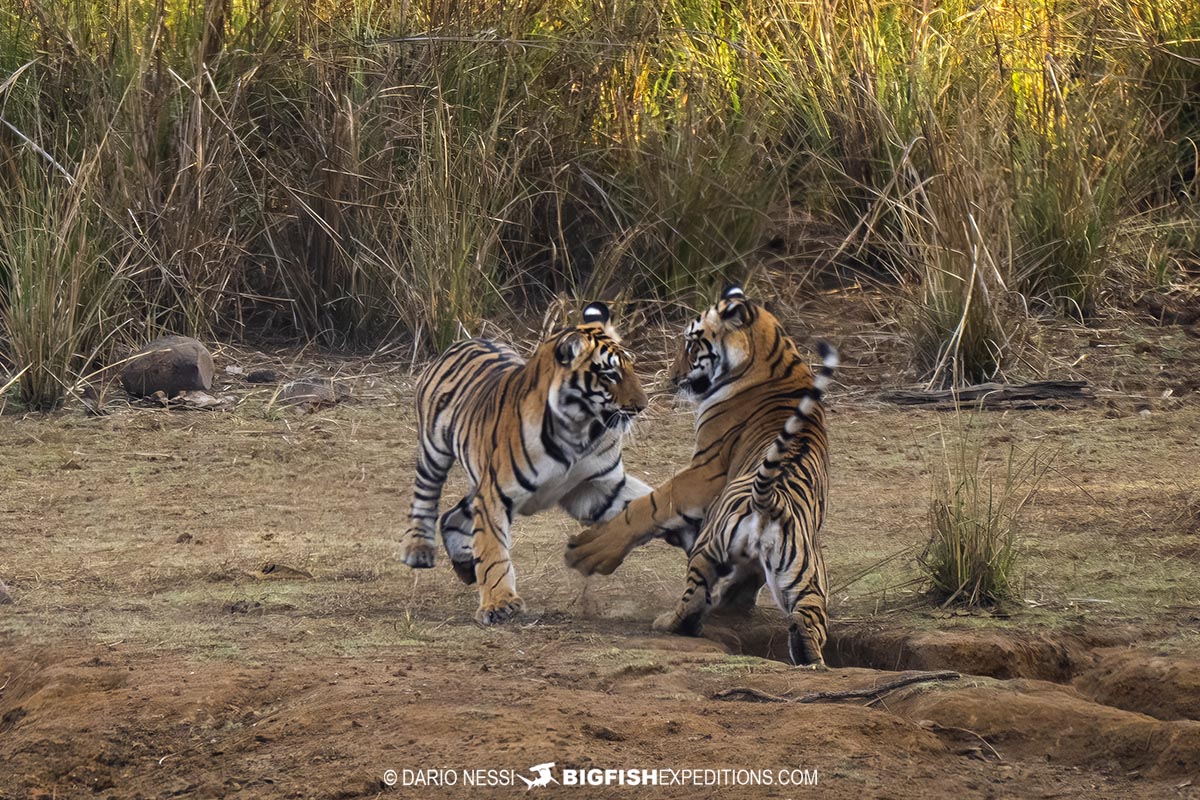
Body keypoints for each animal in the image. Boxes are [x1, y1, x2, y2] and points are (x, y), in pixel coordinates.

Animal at [398, 299, 652, 623]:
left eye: (631, 367)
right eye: (610, 375)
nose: (642, 406)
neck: (578, 430)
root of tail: (464, 340)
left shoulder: (599, 487)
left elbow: (649, 501)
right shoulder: (496, 494)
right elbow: (494, 551)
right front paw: (499, 603)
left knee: (453, 515)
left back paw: (466, 564)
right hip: (435, 449)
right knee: (426, 495)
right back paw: (418, 549)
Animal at [566, 284, 840, 666]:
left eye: (692, 344)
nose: (671, 378)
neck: (774, 356)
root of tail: (769, 500)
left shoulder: (706, 468)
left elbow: (651, 504)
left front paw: (589, 550)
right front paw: (736, 601)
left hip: (712, 545)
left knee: (694, 596)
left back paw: (671, 621)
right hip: (807, 576)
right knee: (809, 619)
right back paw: (808, 656)